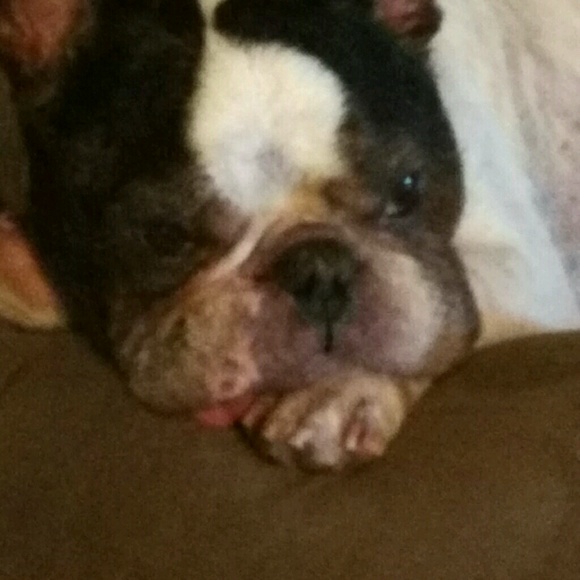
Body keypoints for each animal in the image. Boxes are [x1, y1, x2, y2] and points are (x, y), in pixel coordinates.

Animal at [0, 0, 577, 470]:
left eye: (407, 190)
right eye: (163, 235)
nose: (319, 266)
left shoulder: (523, 272)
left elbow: (435, 312)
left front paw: (337, 393)